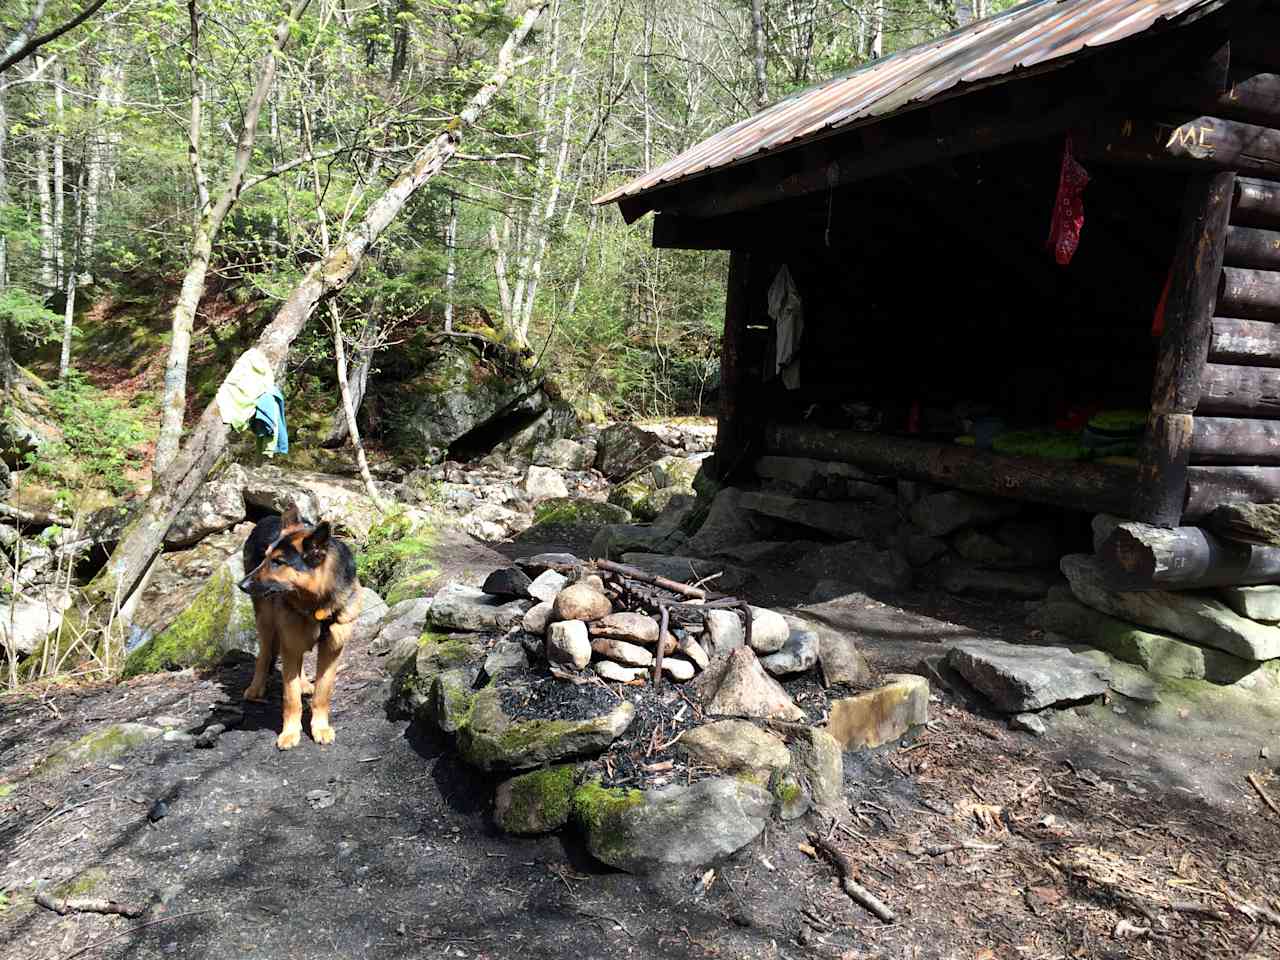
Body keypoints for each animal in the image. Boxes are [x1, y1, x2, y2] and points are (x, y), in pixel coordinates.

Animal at [238, 506, 360, 747]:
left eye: (278, 562)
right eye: (266, 558)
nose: (242, 585)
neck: (318, 603)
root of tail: (268, 517)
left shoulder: (332, 649)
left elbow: (322, 693)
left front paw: (320, 727)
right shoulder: (290, 641)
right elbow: (290, 697)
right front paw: (290, 733)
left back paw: (303, 683)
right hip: (266, 621)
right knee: (264, 653)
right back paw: (256, 687)